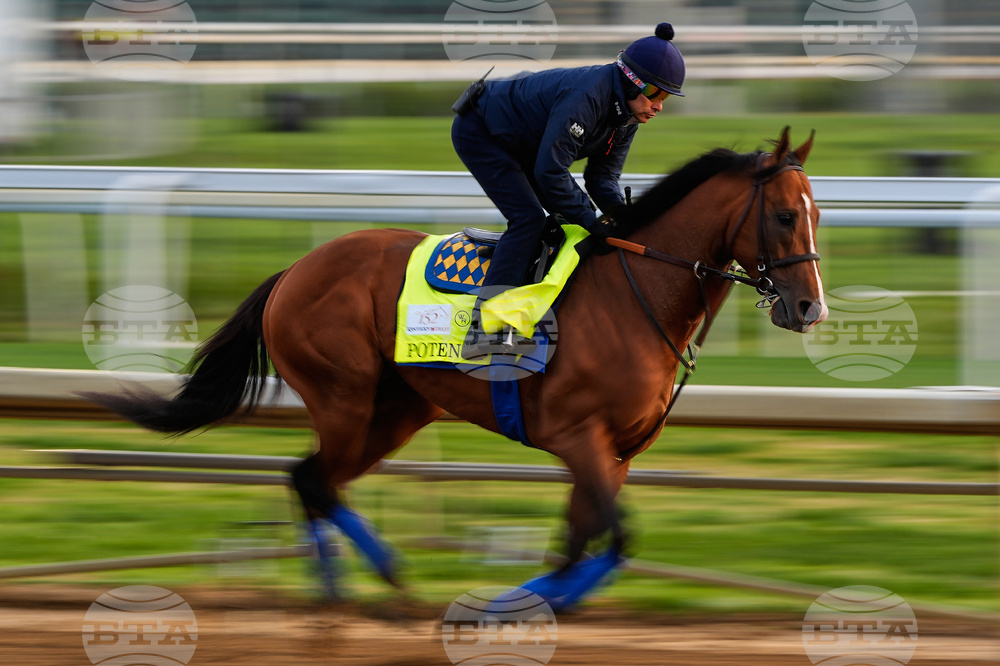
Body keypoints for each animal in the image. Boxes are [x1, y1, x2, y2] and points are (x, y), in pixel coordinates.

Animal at [86, 127, 827, 610]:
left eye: (818, 215)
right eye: (783, 216)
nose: (809, 307)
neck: (634, 291)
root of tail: (293, 271)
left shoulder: (615, 453)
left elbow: (584, 540)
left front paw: (533, 601)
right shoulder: (576, 436)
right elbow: (612, 539)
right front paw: (509, 605)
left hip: (398, 410)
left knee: (311, 480)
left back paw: (342, 587)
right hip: (345, 395)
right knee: (316, 479)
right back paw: (377, 580)